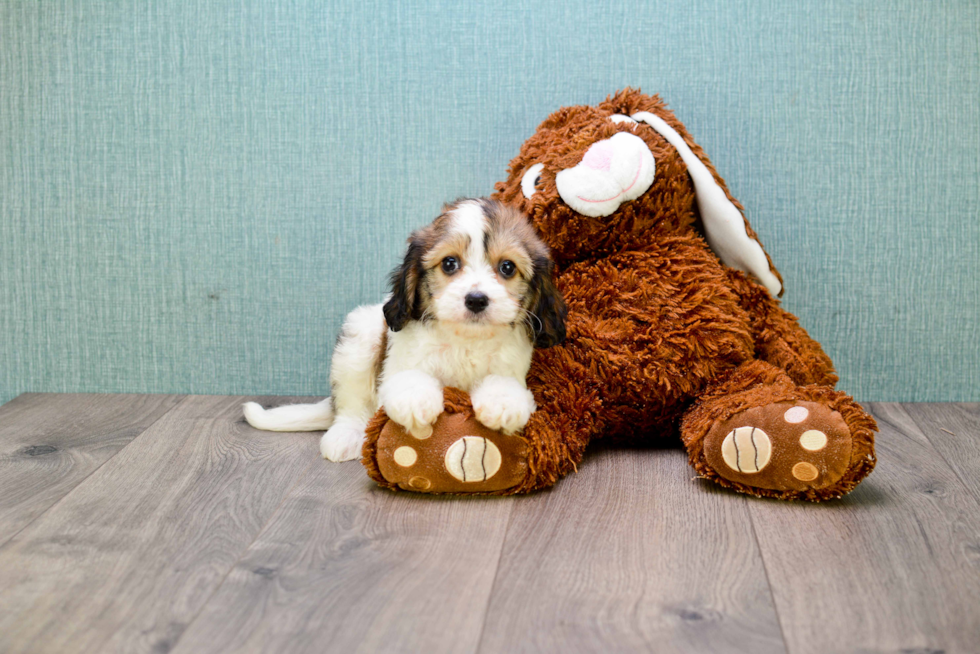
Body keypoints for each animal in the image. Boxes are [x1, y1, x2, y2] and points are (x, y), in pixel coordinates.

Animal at [243, 199, 568, 462]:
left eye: (507, 268)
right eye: (450, 263)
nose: (476, 300)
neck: (464, 340)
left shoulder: (510, 366)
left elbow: (503, 384)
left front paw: (502, 404)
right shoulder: (398, 365)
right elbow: (409, 379)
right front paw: (416, 402)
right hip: (358, 338)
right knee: (351, 404)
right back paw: (346, 434)